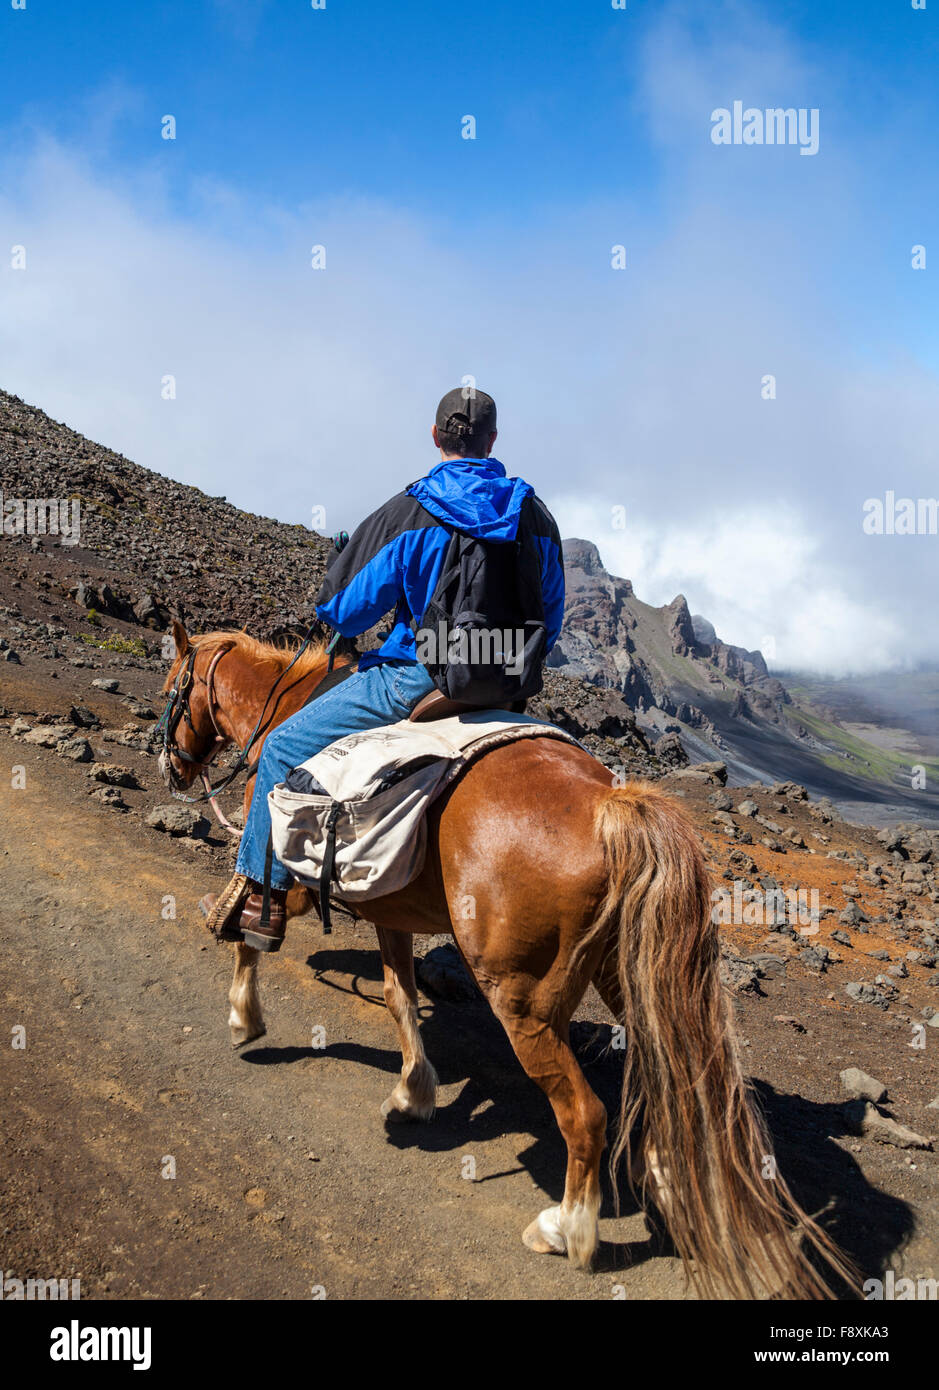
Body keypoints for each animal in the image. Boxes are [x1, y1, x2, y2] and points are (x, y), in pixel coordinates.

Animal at [163, 625, 855, 1295]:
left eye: (174, 689)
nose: (173, 768)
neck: (285, 708)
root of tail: (608, 805)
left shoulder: (292, 879)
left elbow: (250, 931)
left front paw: (244, 1018)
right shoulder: (391, 908)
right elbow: (396, 996)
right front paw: (413, 1092)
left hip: (522, 1002)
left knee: (585, 1115)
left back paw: (566, 1230)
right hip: (623, 976)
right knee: (671, 1081)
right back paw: (667, 1180)